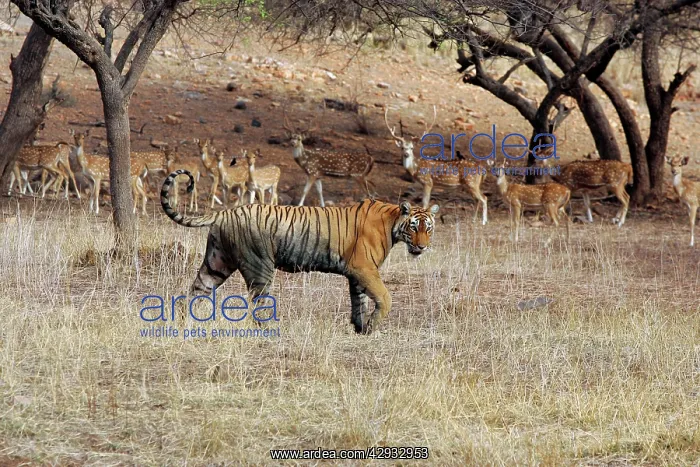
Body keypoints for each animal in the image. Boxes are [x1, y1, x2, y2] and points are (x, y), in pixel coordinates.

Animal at [161, 169, 439, 335]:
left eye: (429, 229)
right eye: (414, 227)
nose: (423, 246)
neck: (393, 223)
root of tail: (226, 212)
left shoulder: (358, 273)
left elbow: (358, 301)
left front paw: (361, 328)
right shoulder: (364, 268)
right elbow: (385, 297)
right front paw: (372, 327)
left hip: (217, 262)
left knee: (196, 290)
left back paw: (184, 322)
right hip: (260, 266)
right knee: (258, 302)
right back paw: (269, 329)